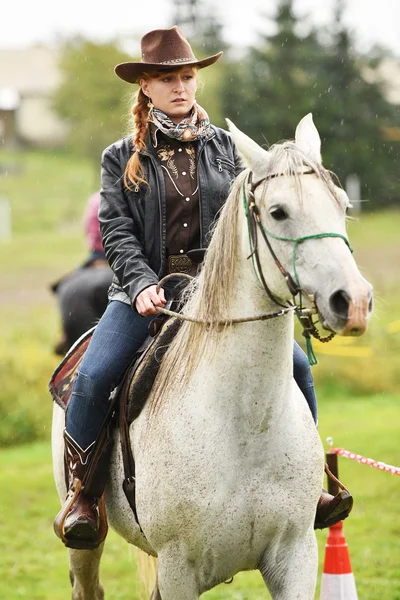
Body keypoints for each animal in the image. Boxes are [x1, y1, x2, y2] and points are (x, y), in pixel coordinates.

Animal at [51, 113, 374, 600]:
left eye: (340, 203)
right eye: (278, 211)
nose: (352, 301)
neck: (245, 424)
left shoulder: (295, 556)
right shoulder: (179, 568)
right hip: (85, 541)